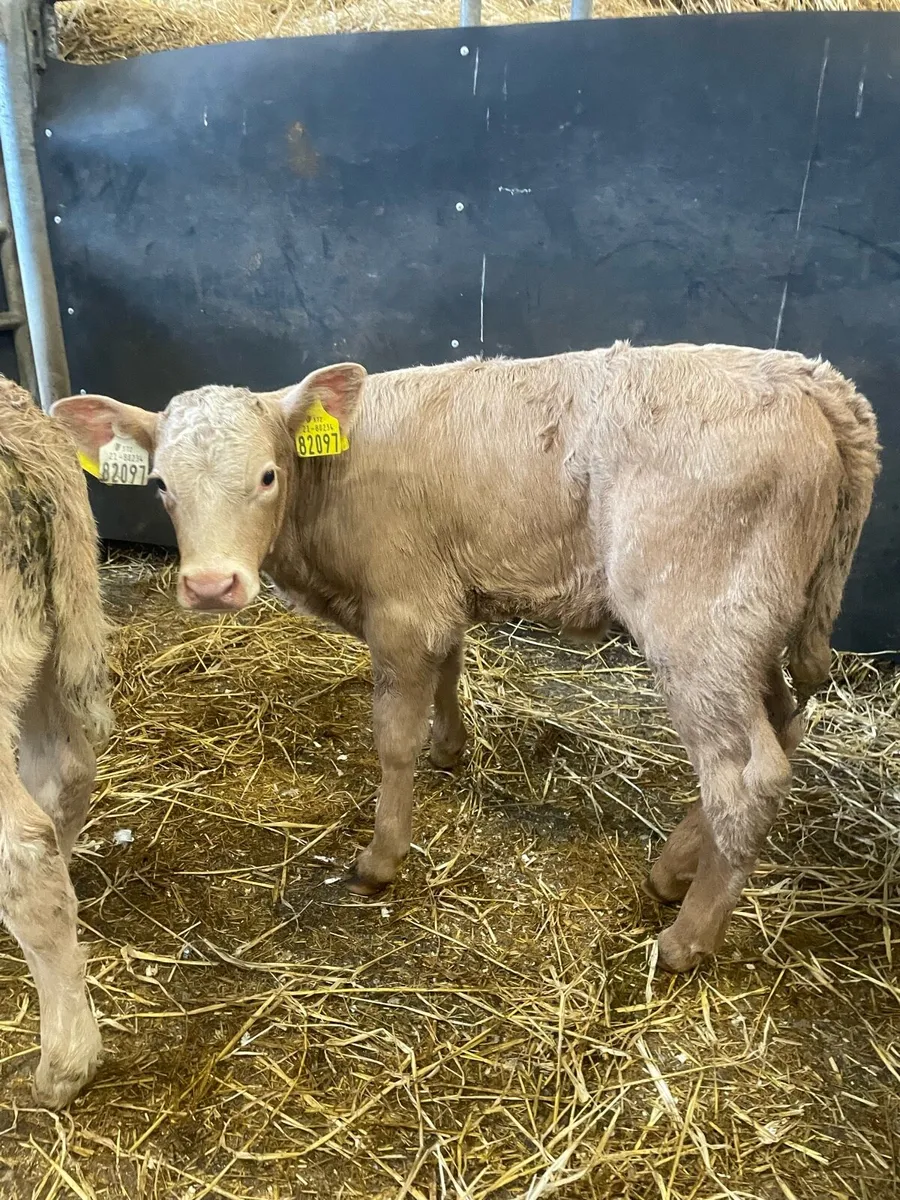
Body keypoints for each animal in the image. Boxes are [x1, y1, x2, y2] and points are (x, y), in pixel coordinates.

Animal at [52, 342, 879, 972]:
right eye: (161, 484)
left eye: (267, 474)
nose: (211, 585)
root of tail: (810, 379)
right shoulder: (438, 593)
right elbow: (451, 666)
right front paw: (450, 748)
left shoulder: (401, 607)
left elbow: (391, 739)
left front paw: (381, 857)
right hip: (752, 626)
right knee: (781, 727)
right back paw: (674, 868)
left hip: (698, 622)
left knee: (746, 774)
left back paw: (686, 936)